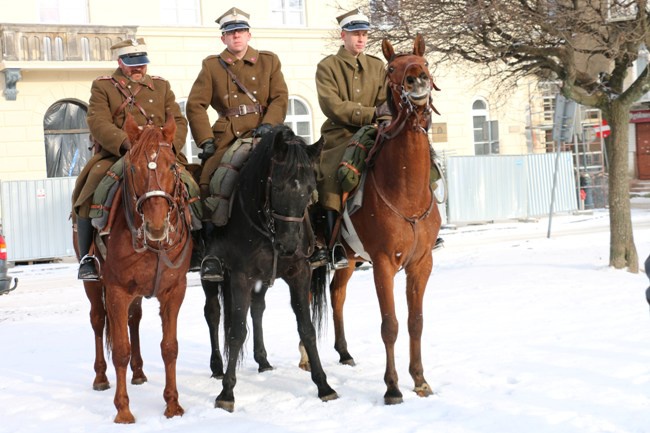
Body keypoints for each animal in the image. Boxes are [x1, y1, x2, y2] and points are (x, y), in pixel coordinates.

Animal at [79, 114, 190, 422]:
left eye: (172, 165)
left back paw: (139, 372)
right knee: (97, 320)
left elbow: (170, 348)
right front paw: (123, 410)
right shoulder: (116, 291)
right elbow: (120, 349)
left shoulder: (174, 291)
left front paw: (173, 404)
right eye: (133, 167)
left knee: (134, 319)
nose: (156, 226)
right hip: (93, 285)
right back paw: (100, 378)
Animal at [200, 125, 336, 412]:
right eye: (278, 186)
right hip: (213, 276)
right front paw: (226, 393)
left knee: (257, 308)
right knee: (213, 313)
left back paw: (262, 360)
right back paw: (217, 366)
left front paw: (323, 384)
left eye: (310, 189)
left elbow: (306, 329)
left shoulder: (300, 273)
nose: (289, 245)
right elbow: (236, 331)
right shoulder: (240, 277)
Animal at [312, 34, 442, 404]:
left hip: (350, 258)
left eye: (425, 63)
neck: (405, 191)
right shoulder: (383, 264)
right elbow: (390, 325)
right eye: (393, 68)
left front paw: (420, 379)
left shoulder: (421, 264)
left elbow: (416, 322)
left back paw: (344, 352)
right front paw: (393, 387)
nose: (417, 80)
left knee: (336, 294)